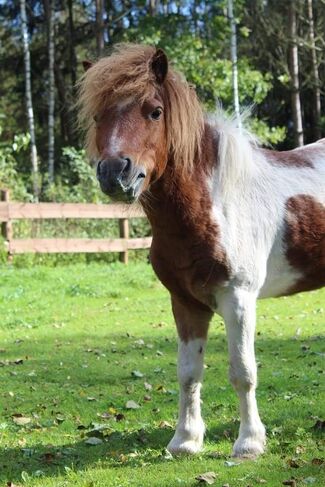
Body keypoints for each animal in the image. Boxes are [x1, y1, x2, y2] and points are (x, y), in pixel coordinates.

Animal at [78, 43, 324, 460]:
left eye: (154, 111)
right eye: (98, 116)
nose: (114, 173)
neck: (214, 203)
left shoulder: (238, 299)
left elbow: (242, 371)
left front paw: (248, 443)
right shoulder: (186, 303)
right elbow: (188, 372)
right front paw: (186, 440)